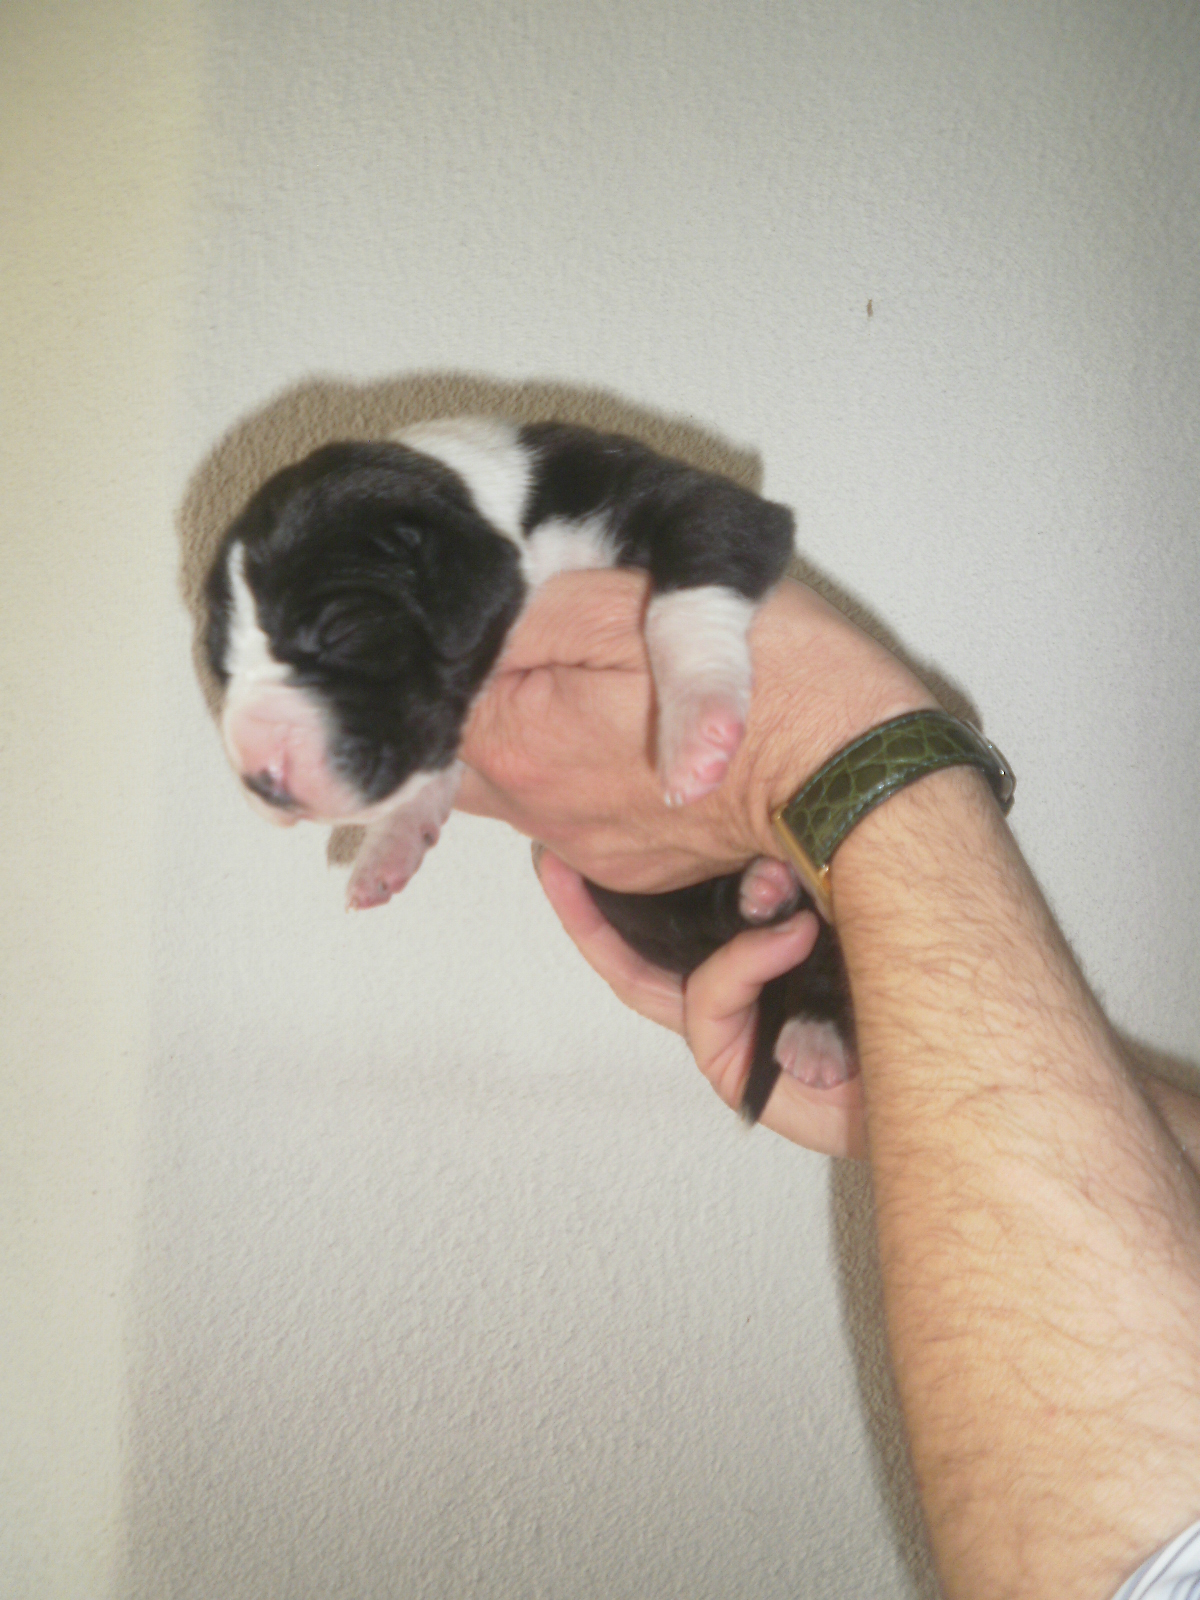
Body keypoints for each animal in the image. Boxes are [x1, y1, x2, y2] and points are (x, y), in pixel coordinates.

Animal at [203, 418, 854, 1119]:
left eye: (341, 630)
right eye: (220, 667)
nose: (260, 778)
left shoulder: (695, 502)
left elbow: (689, 588)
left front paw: (697, 728)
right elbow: (430, 776)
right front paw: (388, 849)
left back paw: (816, 1034)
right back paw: (764, 895)